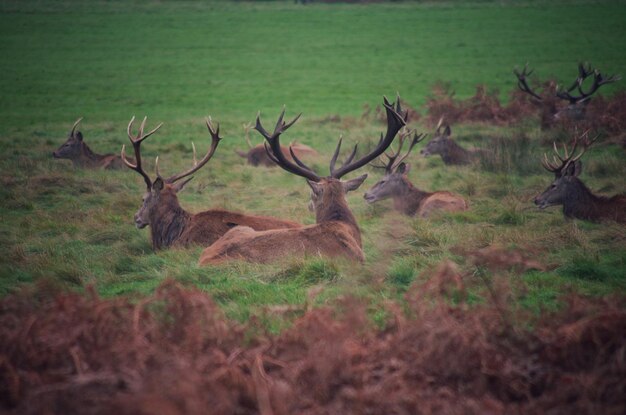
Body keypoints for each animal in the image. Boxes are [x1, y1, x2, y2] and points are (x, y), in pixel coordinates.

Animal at [197, 96, 408, 266]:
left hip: (240, 229)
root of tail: (203, 260)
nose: (308, 205)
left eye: (311, 195)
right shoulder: (358, 260)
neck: (345, 227)